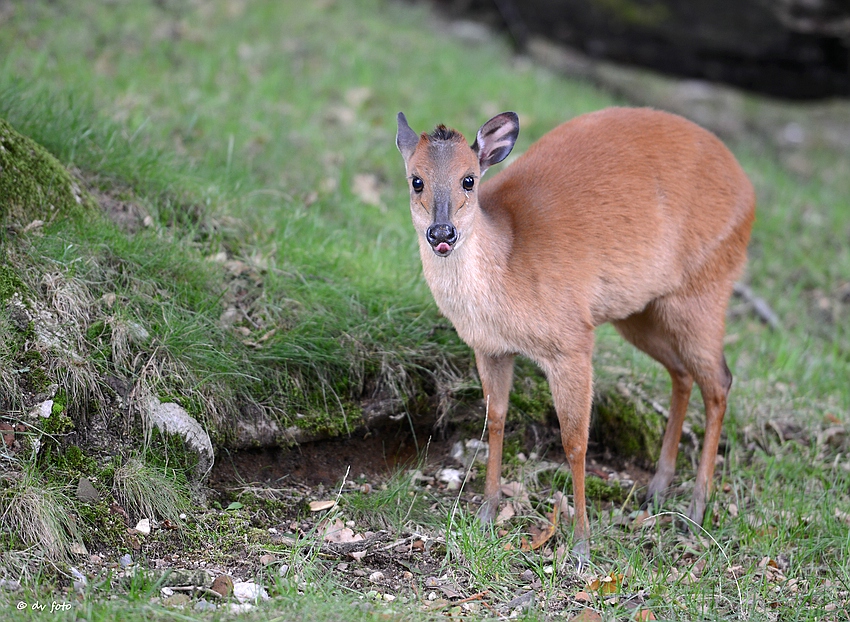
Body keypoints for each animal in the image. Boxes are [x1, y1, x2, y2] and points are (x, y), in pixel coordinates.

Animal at [394, 108, 752, 560]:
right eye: (416, 179)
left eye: (469, 179)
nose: (442, 234)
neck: (508, 263)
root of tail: (749, 192)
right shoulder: (490, 348)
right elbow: (495, 421)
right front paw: (486, 512)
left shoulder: (571, 340)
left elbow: (575, 440)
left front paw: (581, 543)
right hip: (640, 311)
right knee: (683, 373)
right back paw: (656, 488)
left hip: (704, 289)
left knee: (719, 380)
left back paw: (696, 510)